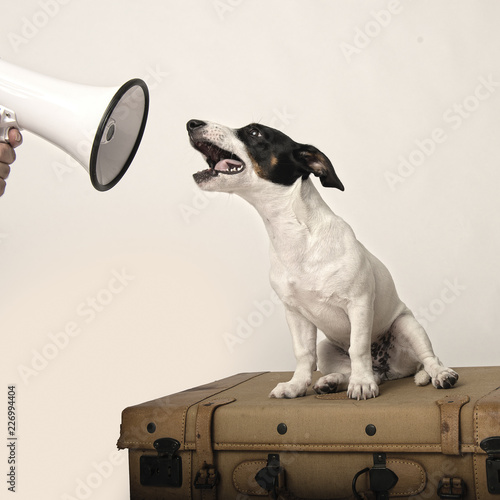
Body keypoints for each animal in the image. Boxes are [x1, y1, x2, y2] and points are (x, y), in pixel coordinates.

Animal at [187, 119, 458, 400]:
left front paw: (362, 384)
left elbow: (358, 347)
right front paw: (296, 385)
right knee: (355, 371)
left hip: (408, 326)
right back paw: (333, 381)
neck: (295, 235)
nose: (192, 123)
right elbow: (304, 354)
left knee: (429, 358)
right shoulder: (295, 315)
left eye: (254, 132)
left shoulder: (359, 304)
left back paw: (438, 375)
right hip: (327, 348)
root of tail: (388, 369)